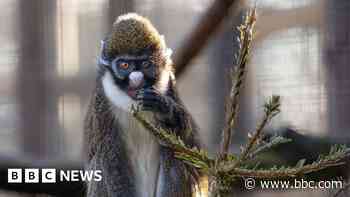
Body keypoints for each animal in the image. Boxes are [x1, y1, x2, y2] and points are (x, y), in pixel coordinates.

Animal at [83, 13, 201, 196]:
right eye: (125, 65)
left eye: (146, 64)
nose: (136, 79)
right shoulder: (101, 105)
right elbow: (110, 159)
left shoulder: (170, 85)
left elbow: (188, 142)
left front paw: (163, 108)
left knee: (175, 154)